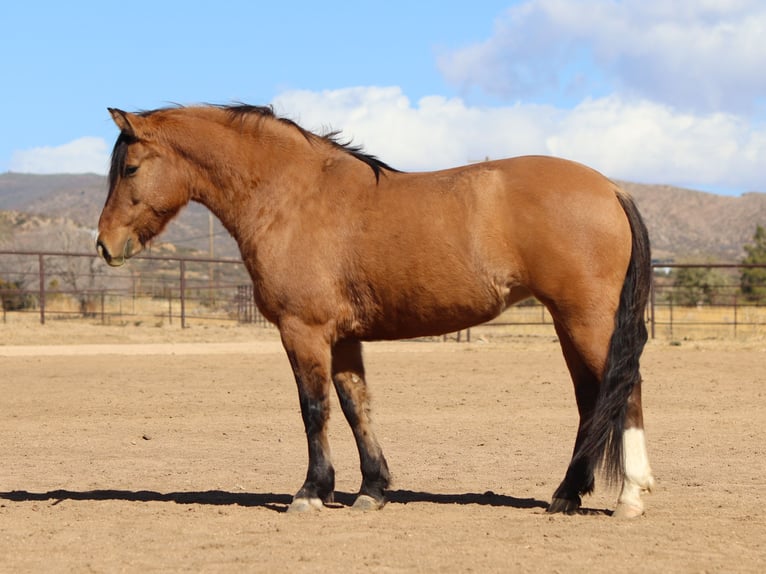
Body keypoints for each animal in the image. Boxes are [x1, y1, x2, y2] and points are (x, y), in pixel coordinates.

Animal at [99, 104, 656, 520]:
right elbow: (356, 407)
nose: (106, 245)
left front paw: (310, 492)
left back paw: (629, 497)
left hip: (588, 321)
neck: (292, 196)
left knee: (625, 389)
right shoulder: (344, 338)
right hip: (569, 323)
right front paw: (372, 489)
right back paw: (566, 495)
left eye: (130, 168)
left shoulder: (303, 332)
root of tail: (611, 188)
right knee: (590, 400)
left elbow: (314, 409)